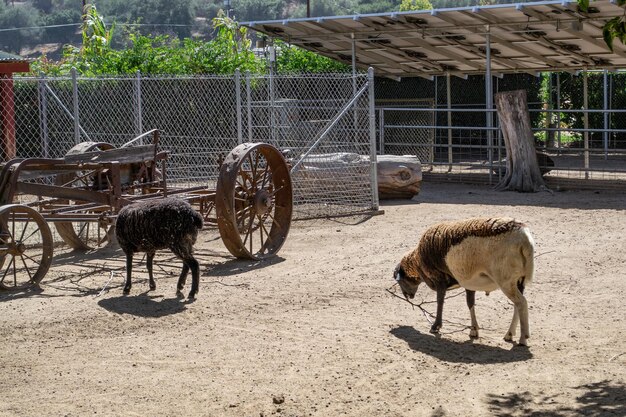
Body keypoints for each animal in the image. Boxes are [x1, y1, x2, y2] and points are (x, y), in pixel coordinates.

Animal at [390, 218, 532, 344]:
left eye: (400, 281)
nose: (407, 296)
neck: (418, 261)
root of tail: (525, 239)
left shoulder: (439, 279)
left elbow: (440, 301)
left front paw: (436, 326)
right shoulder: (470, 282)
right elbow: (470, 303)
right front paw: (474, 330)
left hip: (505, 279)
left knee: (521, 303)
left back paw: (523, 338)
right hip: (519, 280)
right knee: (517, 305)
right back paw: (509, 334)